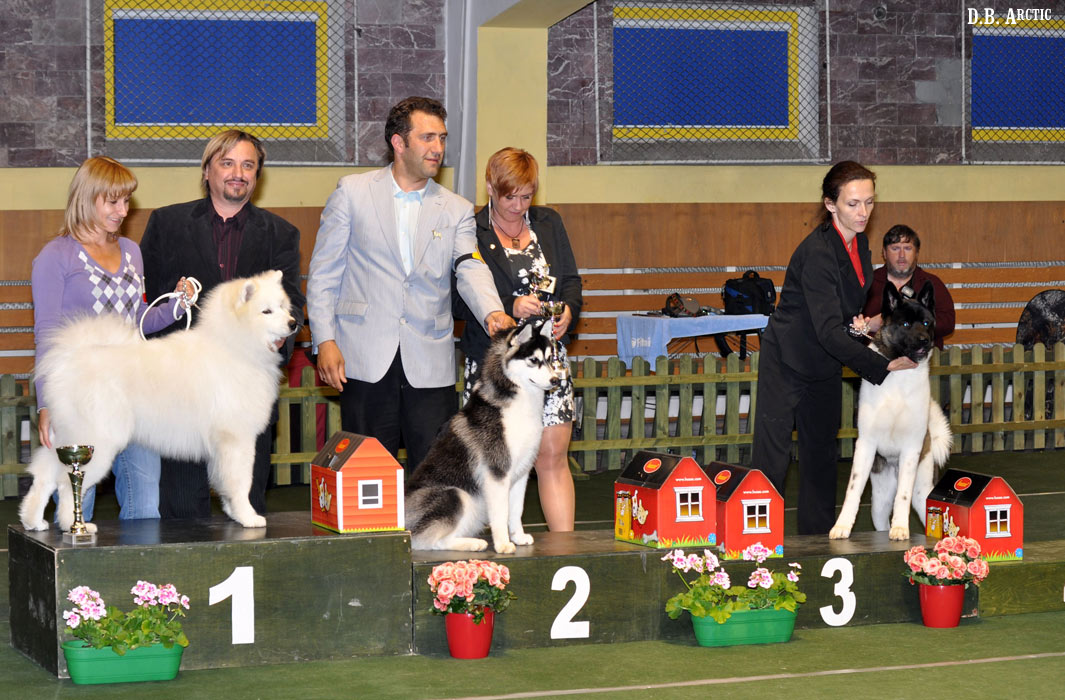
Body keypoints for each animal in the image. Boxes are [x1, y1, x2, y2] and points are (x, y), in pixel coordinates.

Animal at [20, 270, 296, 532]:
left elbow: (225, 482)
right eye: (266, 311)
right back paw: (74, 525)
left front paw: (232, 512)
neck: (235, 345)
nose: (294, 323)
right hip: (94, 442)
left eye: (284, 306)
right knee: (67, 485)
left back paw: (34, 521)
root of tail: (70, 359)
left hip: (64, 437)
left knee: (44, 476)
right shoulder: (236, 438)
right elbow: (240, 482)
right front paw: (247, 516)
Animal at [405, 321, 564, 553]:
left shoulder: (522, 473)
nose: (555, 380)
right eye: (533, 360)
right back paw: (473, 543)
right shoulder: (497, 473)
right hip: (456, 495)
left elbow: (516, 510)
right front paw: (503, 544)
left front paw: (518, 536)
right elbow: (501, 513)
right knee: (428, 541)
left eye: (550, 358)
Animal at [829, 281, 952, 541]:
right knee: (880, 515)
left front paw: (901, 528)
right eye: (905, 324)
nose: (924, 340)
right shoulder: (866, 445)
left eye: (927, 323)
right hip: (879, 501)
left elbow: (902, 497)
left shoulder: (911, 449)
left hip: (922, 492)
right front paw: (842, 526)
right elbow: (853, 490)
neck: (899, 377)